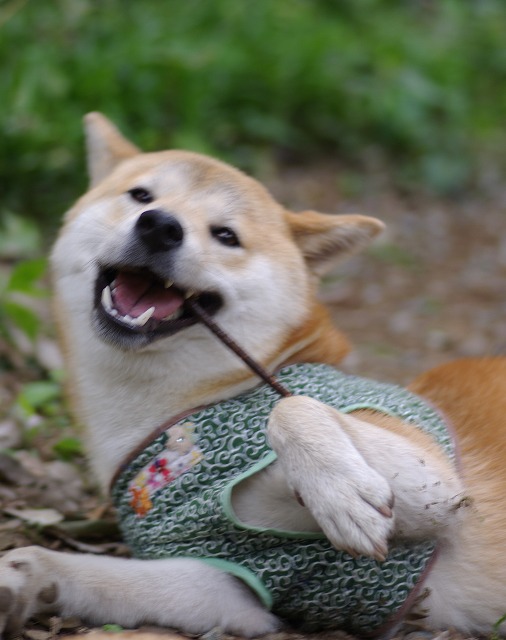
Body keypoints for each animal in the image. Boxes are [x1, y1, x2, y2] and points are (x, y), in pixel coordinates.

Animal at [1, 113, 506, 638]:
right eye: (141, 195)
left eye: (226, 235)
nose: (160, 226)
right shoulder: (228, 581)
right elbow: (81, 570)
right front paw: (21, 578)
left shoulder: (437, 486)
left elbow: (291, 407)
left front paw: (341, 493)